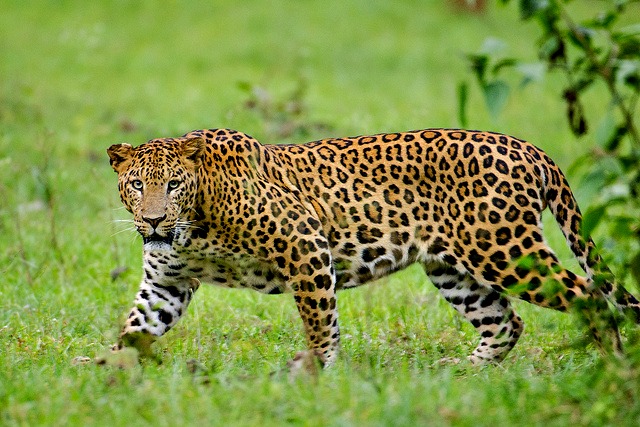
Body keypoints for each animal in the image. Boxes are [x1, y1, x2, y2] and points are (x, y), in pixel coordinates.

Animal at [107, 128, 640, 366]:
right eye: (136, 185)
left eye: (173, 184)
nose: (153, 220)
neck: (195, 224)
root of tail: (530, 148)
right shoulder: (166, 282)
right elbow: (136, 326)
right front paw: (105, 375)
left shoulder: (305, 244)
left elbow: (319, 322)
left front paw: (316, 373)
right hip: (453, 269)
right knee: (505, 321)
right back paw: (463, 373)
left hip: (504, 250)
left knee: (590, 297)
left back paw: (613, 366)